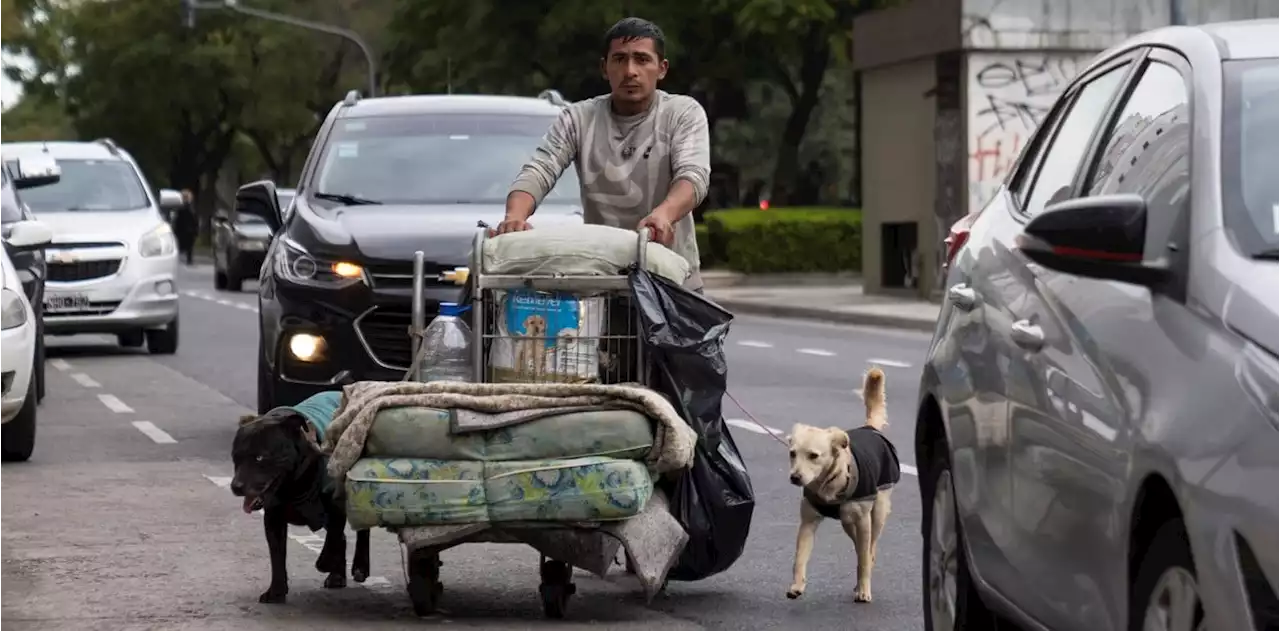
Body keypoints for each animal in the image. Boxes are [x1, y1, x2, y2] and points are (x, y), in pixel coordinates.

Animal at [230, 407, 368, 601]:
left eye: (259, 457)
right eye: (235, 456)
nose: (236, 486)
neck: (293, 484)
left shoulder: (337, 505)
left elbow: (333, 537)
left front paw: (325, 562)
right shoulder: (273, 519)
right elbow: (277, 555)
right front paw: (276, 591)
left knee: (361, 531)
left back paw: (360, 566)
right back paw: (337, 576)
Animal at [783, 366, 896, 601]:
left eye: (814, 456)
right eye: (792, 453)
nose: (795, 477)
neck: (829, 482)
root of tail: (870, 428)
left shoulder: (864, 522)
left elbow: (863, 560)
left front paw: (864, 589)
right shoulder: (808, 521)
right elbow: (800, 557)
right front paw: (797, 585)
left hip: (877, 513)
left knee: (870, 548)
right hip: (847, 521)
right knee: (859, 545)